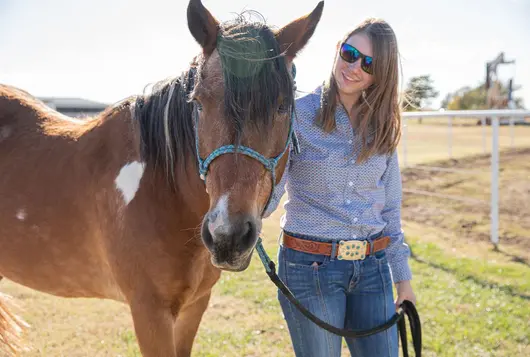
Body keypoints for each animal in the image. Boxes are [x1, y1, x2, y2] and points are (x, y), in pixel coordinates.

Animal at [0, 1, 322, 354]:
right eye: (198, 103)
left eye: (282, 106)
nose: (228, 236)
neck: (162, 189)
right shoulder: (148, 312)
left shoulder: (194, 306)